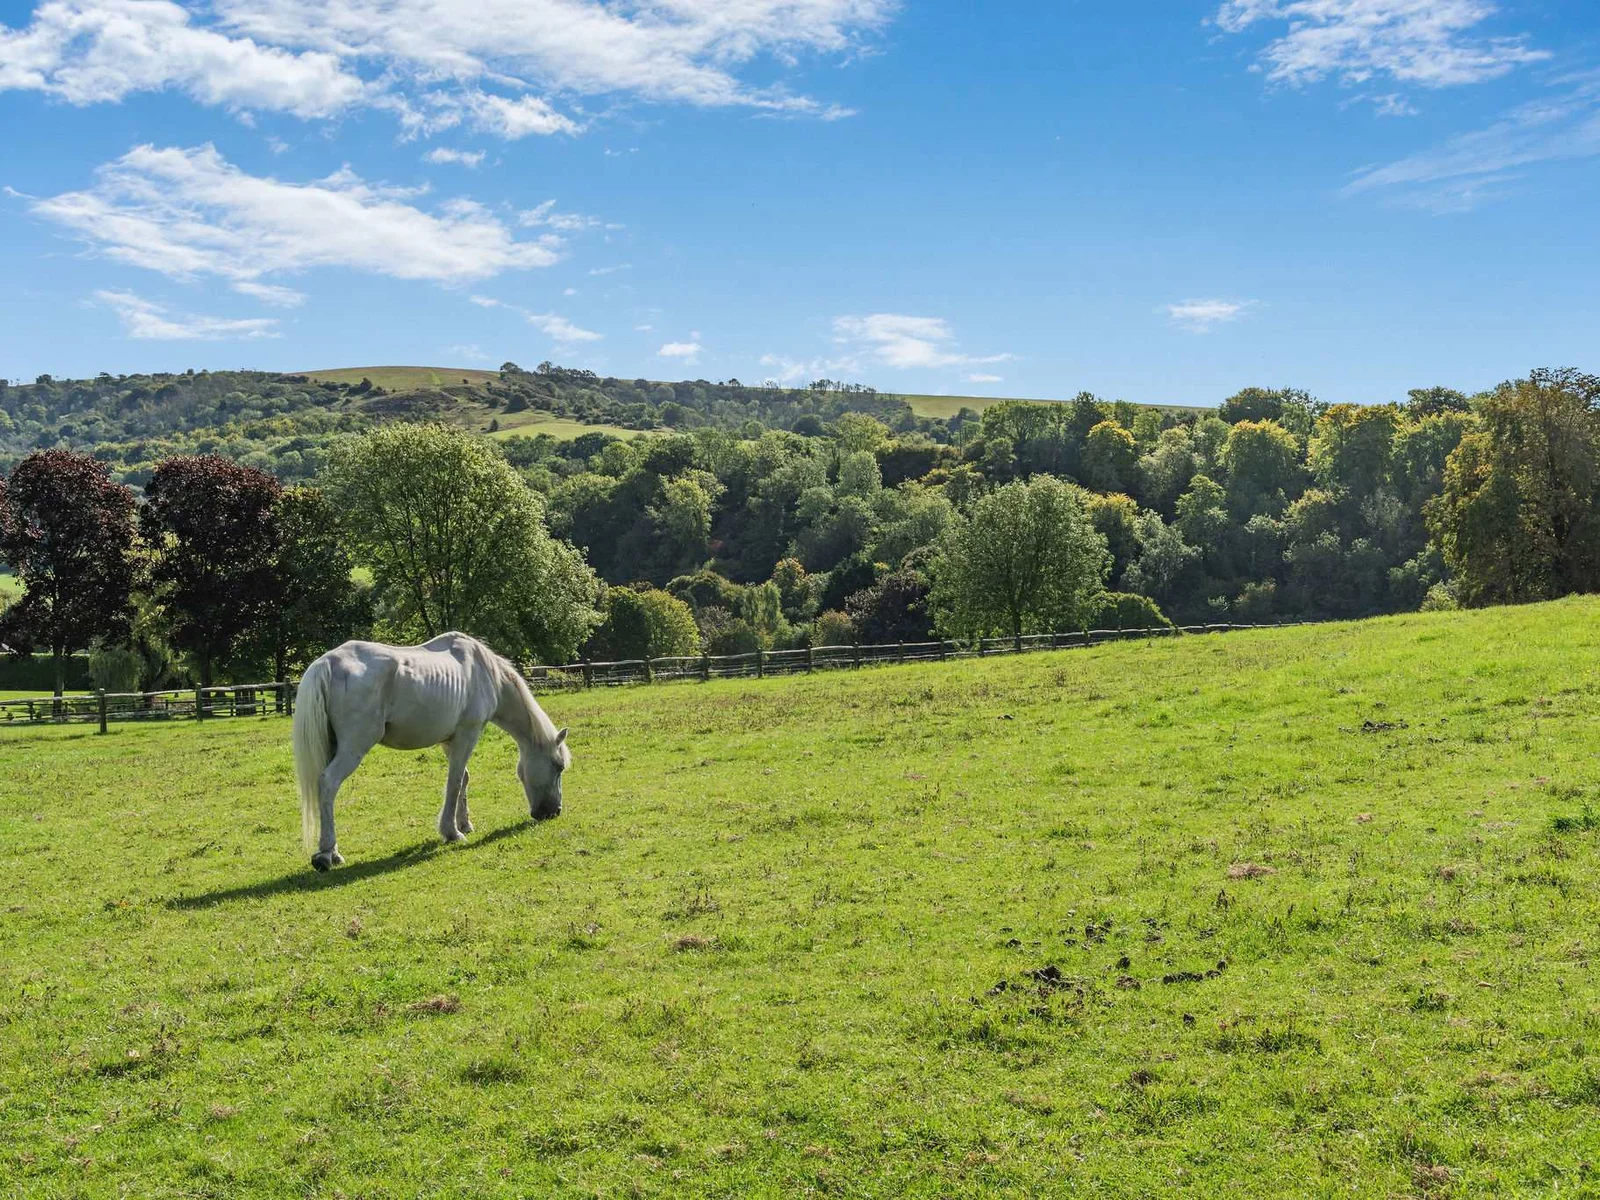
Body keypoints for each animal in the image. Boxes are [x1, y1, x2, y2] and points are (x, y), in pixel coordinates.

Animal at [292, 632, 569, 871]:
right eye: (559, 767)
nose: (554, 812)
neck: (484, 671)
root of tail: (327, 662)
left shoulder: (450, 740)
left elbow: (464, 779)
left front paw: (464, 824)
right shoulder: (468, 734)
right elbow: (454, 782)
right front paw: (451, 832)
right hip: (354, 747)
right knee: (328, 783)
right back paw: (327, 854)